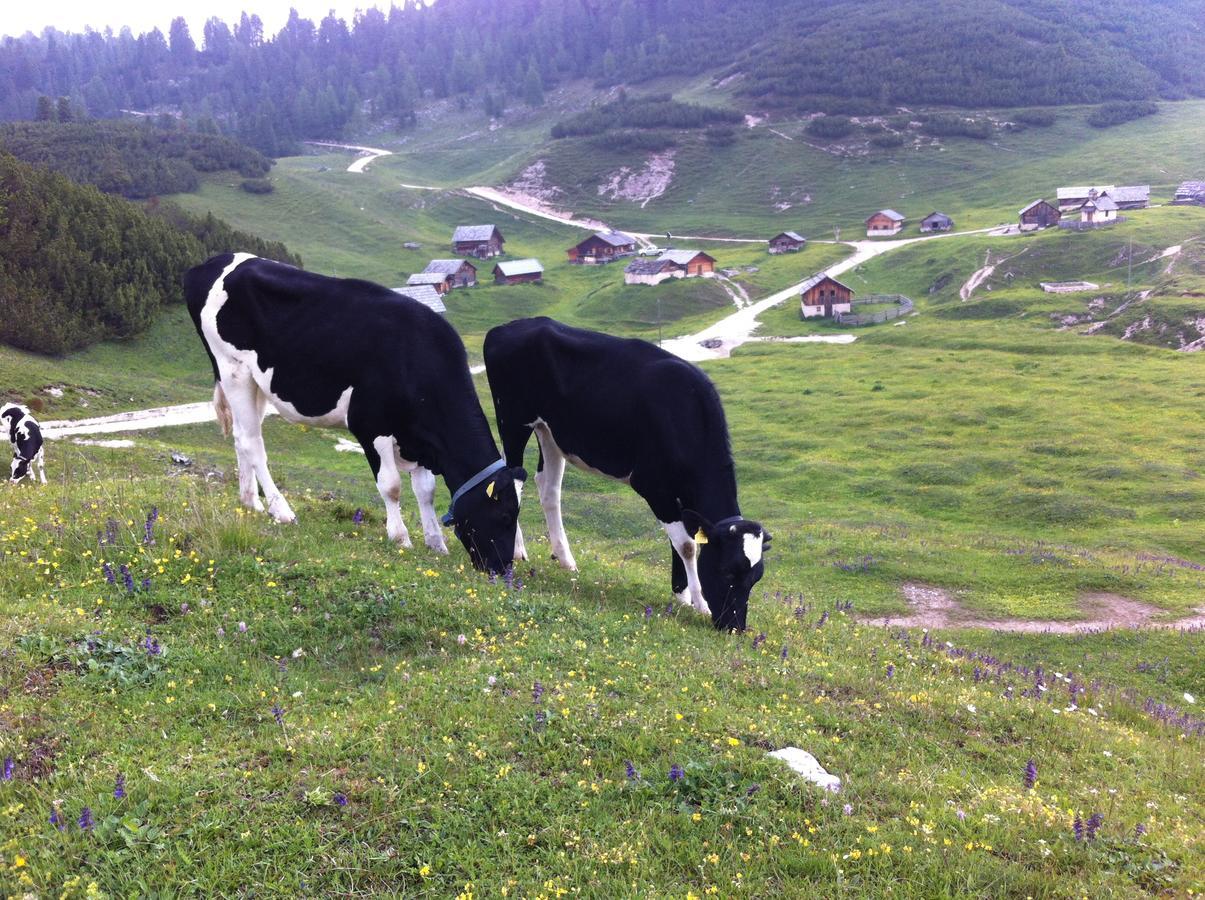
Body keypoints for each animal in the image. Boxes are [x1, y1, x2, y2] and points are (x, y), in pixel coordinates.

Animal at [183, 251, 522, 571]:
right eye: (505, 516)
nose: (503, 569)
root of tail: (212, 262)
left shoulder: (418, 436)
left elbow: (425, 490)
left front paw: (436, 542)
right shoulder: (370, 424)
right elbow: (392, 486)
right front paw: (401, 537)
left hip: (257, 381)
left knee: (241, 436)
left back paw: (250, 502)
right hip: (233, 368)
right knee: (252, 443)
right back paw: (282, 510)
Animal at [482, 318, 771, 631]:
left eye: (755, 578)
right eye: (728, 572)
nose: (735, 627)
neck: (685, 410)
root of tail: (509, 326)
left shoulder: (679, 495)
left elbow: (681, 541)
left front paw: (681, 596)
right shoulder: (654, 486)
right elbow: (686, 545)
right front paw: (699, 603)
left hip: (550, 431)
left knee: (548, 489)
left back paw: (565, 559)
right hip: (513, 421)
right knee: (512, 477)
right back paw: (517, 550)